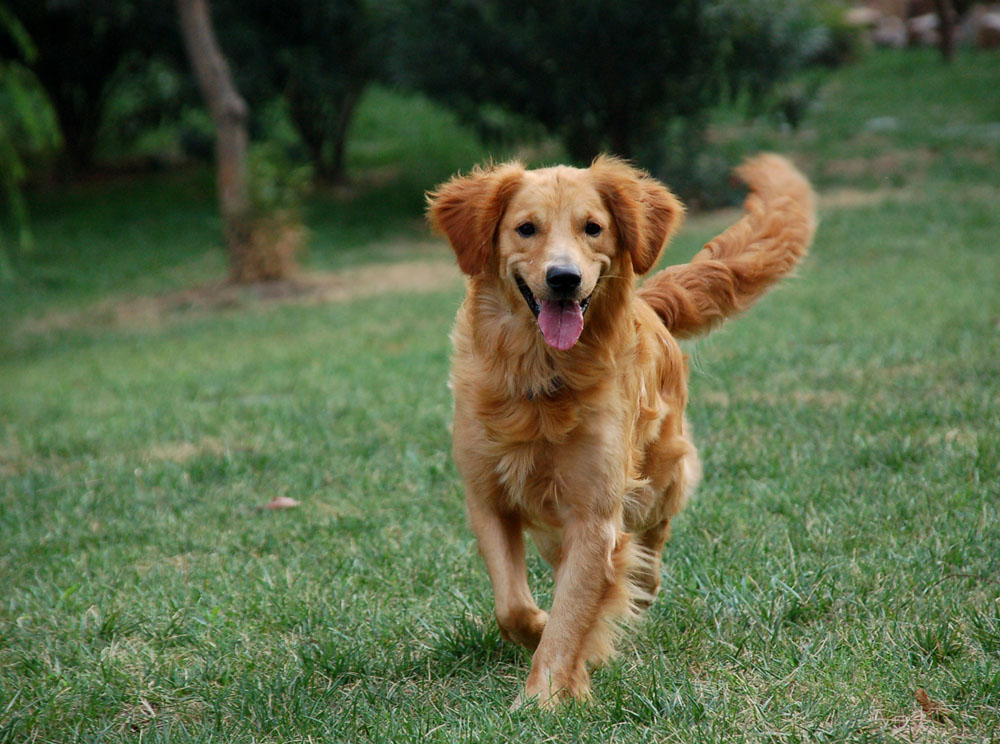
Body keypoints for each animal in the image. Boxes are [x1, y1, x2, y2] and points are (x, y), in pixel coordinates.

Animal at [426, 154, 816, 708]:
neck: (543, 377)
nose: (564, 278)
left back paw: (644, 582)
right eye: (526, 228)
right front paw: (542, 634)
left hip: (659, 470)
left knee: (656, 527)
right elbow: (514, 607)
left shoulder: (595, 511)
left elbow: (571, 614)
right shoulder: (487, 497)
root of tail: (651, 303)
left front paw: (543, 699)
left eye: (593, 228)